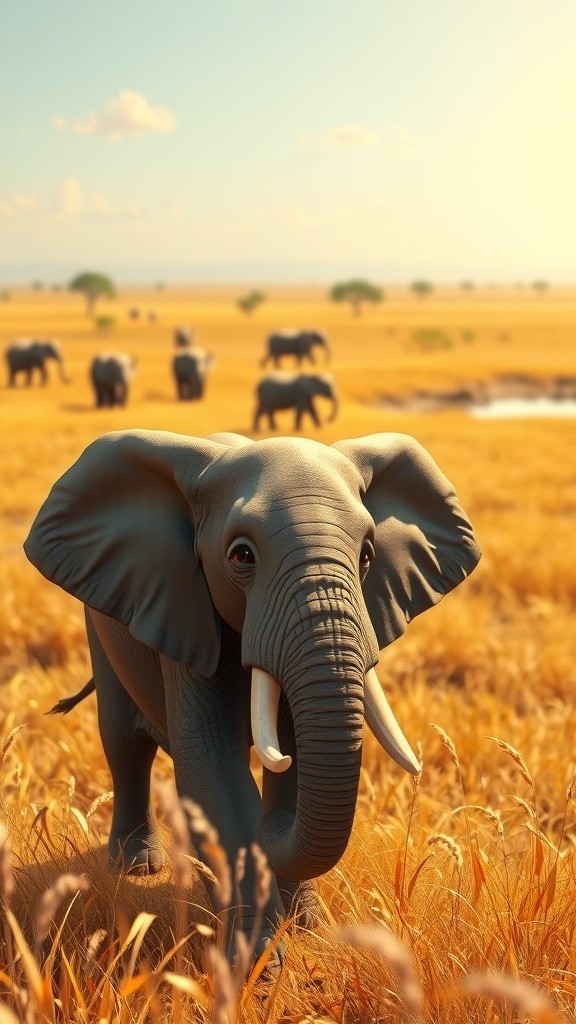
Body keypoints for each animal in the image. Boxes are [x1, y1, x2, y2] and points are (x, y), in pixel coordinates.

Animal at [24, 428, 480, 959]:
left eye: (367, 555)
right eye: (241, 555)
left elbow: (295, 765)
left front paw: (307, 930)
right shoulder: (187, 613)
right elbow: (212, 767)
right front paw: (258, 958)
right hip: (101, 624)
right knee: (123, 741)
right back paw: (138, 867)